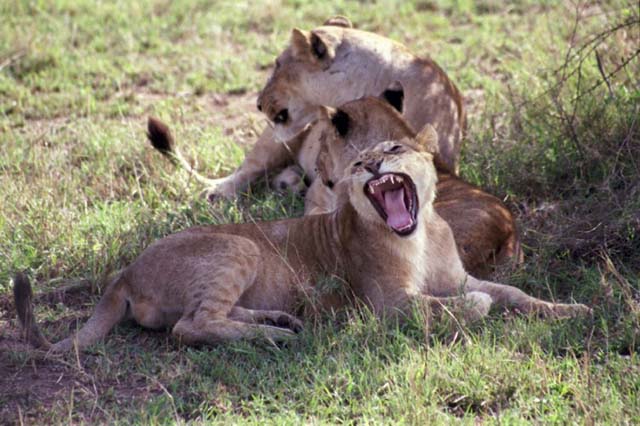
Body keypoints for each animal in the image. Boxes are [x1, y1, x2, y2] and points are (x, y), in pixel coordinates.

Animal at [12, 130, 592, 352]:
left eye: (393, 148)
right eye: (358, 164)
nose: (373, 165)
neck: (422, 234)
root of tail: (124, 273)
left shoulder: (461, 273)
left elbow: (512, 293)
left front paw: (573, 311)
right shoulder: (386, 307)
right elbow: (463, 305)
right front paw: (477, 309)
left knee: (210, 317)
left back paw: (278, 321)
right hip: (239, 248)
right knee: (190, 326)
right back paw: (274, 336)